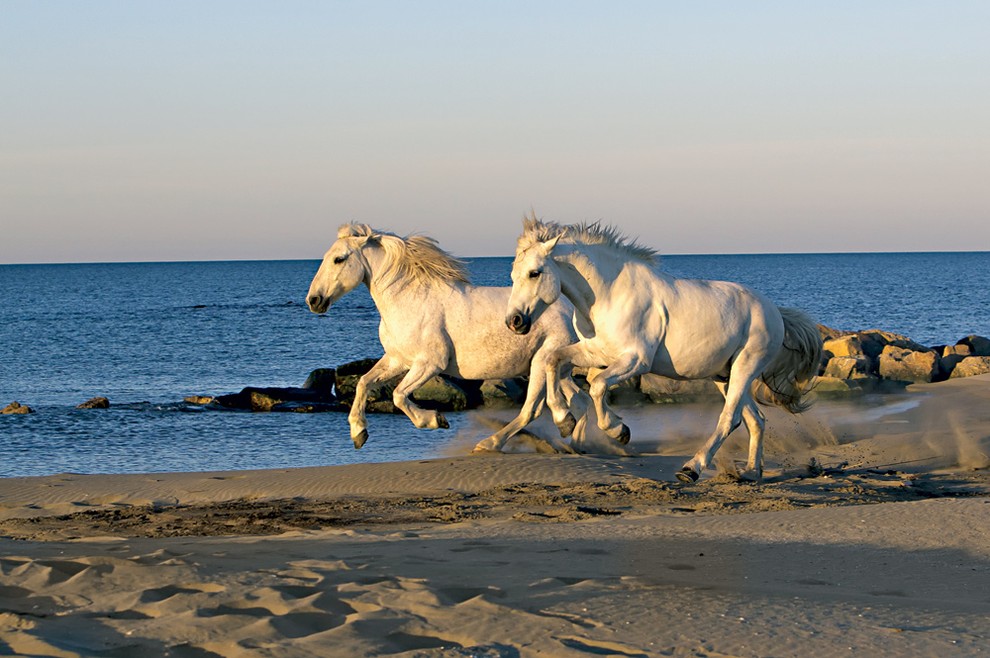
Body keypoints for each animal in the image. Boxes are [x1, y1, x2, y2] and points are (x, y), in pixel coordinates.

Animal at [306, 222, 592, 452]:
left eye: (339, 259)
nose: (314, 300)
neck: (408, 301)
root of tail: (572, 308)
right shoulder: (397, 360)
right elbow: (364, 383)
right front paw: (358, 433)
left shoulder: (430, 363)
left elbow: (398, 395)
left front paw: (435, 420)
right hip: (555, 367)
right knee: (580, 399)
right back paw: (583, 437)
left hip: (542, 360)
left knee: (532, 409)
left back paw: (491, 443)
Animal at [504, 218, 820, 480]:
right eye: (513, 276)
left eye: (534, 273)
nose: (514, 321)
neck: (609, 294)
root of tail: (774, 311)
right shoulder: (596, 351)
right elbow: (553, 360)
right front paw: (564, 421)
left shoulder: (635, 360)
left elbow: (597, 386)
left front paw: (619, 430)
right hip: (724, 375)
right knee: (755, 420)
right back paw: (752, 472)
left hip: (746, 366)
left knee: (730, 418)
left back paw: (691, 469)